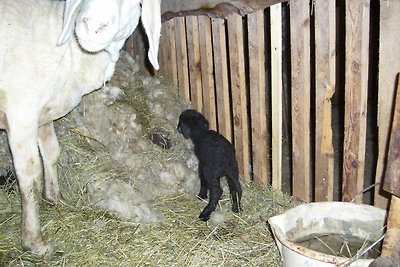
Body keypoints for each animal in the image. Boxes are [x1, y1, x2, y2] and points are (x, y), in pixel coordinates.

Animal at [0, 0, 159, 256]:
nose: (92, 26)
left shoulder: (43, 117)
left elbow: (52, 154)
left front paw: (55, 198)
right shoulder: (21, 112)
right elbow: (30, 176)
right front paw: (35, 242)